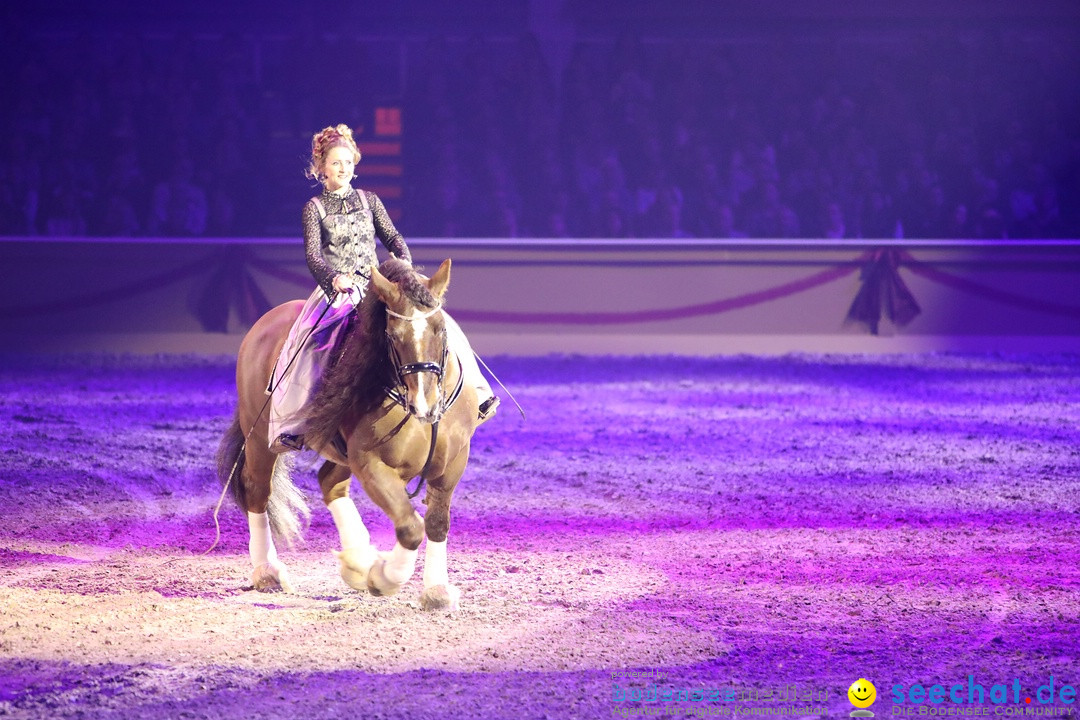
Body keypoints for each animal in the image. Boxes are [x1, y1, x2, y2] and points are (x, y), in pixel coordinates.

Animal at [214, 255, 477, 613]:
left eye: (441, 328)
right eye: (392, 335)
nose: (426, 404)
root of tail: (268, 320)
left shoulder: (451, 465)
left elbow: (436, 523)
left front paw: (436, 591)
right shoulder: (371, 464)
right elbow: (410, 526)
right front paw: (384, 577)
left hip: (339, 454)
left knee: (329, 482)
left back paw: (357, 562)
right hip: (259, 439)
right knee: (258, 490)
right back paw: (267, 572)